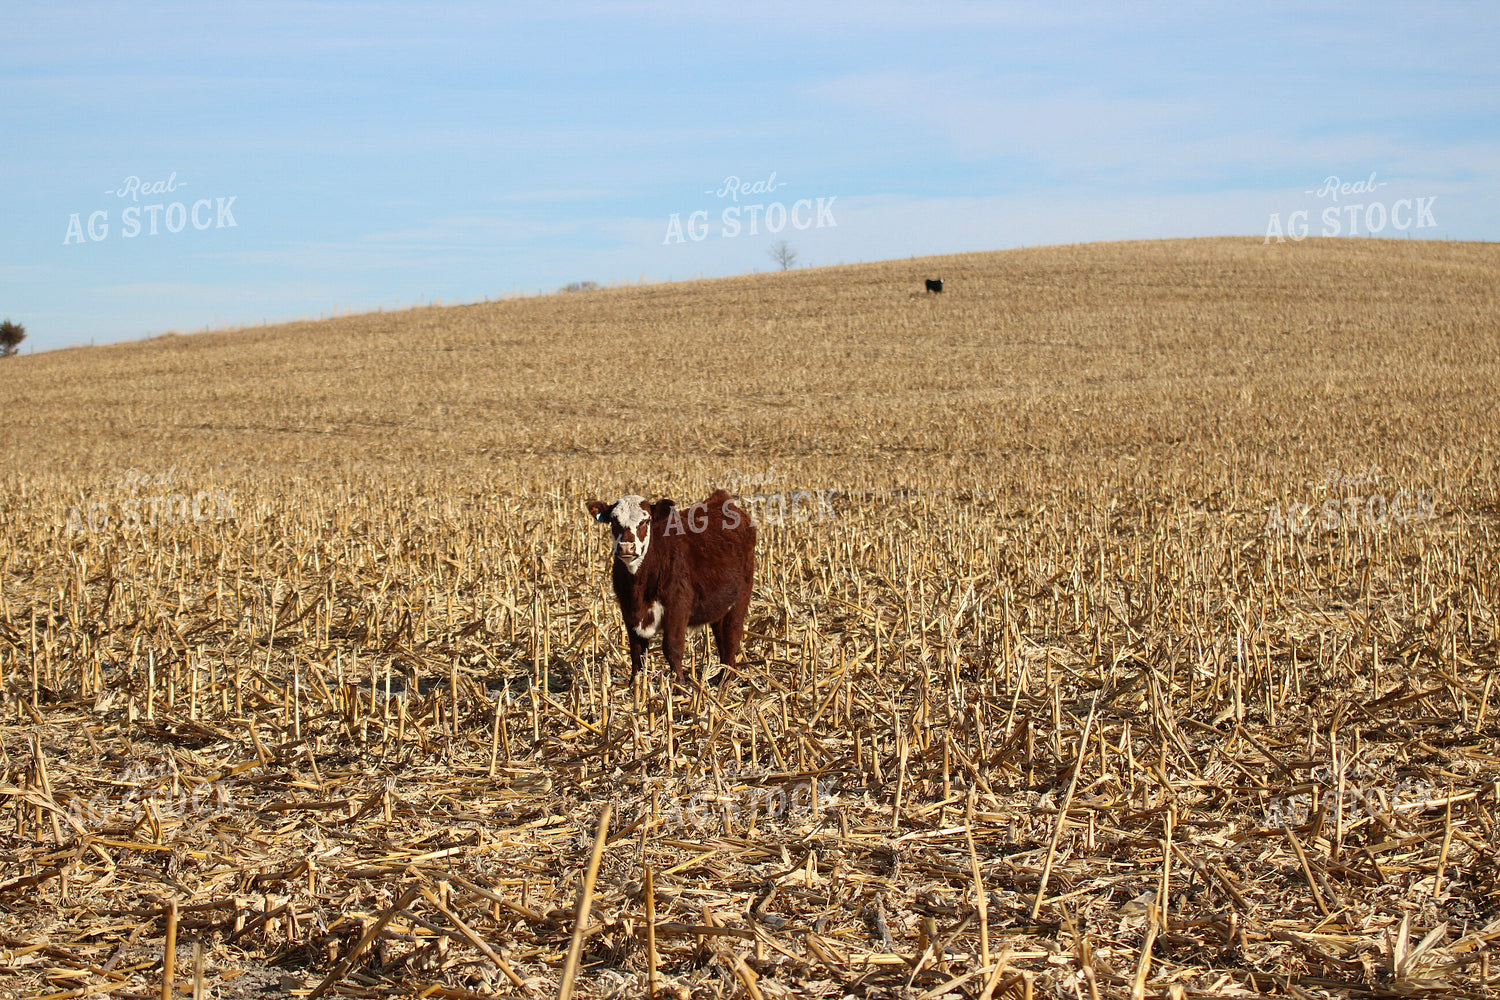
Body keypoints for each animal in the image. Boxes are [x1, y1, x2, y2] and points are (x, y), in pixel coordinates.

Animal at [586, 489, 756, 686]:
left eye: (646, 521)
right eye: (614, 521)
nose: (626, 547)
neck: (639, 586)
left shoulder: (677, 608)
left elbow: (672, 648)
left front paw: (679, 685)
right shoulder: (628, 610)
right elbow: (637, 651)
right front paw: (634, 684)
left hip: (740, 599)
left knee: (731, 636)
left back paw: (726, 679)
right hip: (719, 605)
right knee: (721, 636)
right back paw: (722, 676)